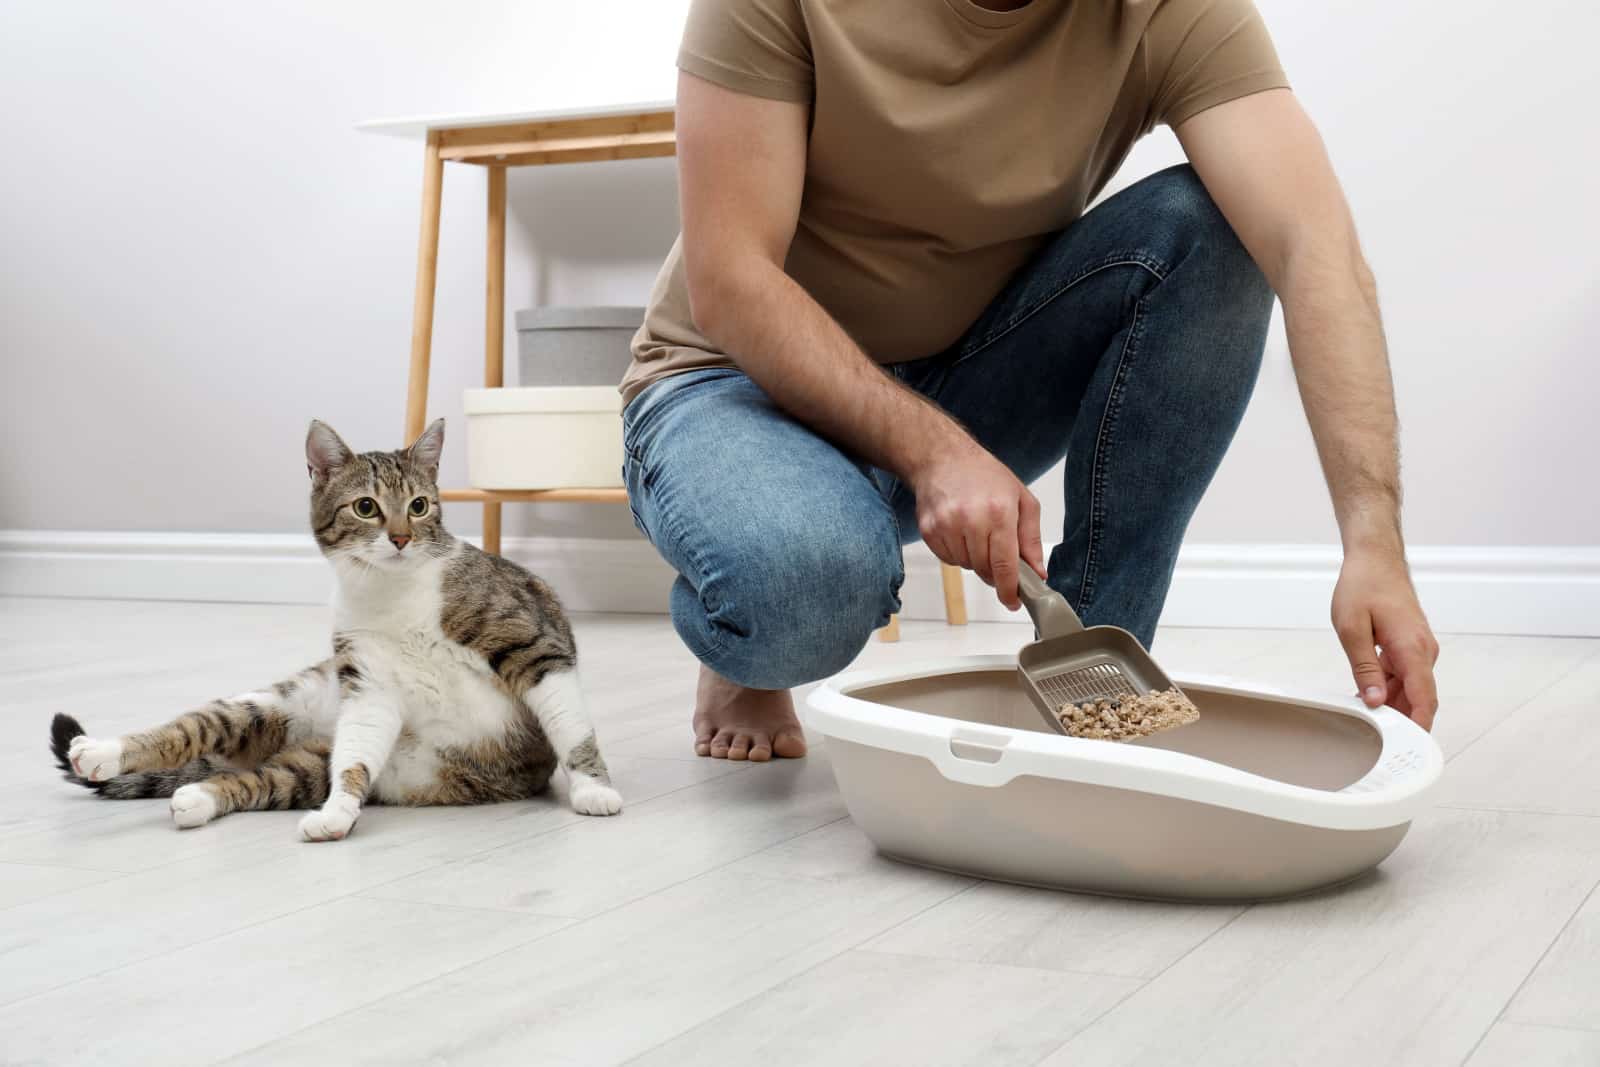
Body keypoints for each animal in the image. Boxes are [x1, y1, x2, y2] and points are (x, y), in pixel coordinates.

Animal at [46, 415, 620, 844]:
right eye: (366, 507)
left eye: (420, 505)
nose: (401, 538)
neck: (393, 594)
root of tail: (314, 728)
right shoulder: (369, 685)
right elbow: (356, 758)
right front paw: (340, 810)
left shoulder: (532, 644)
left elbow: (571, 726)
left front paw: (593, 789)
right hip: (271, 708)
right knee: (193, 733)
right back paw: (102, 753)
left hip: (309, 762)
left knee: (256, 778)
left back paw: (198, 798)